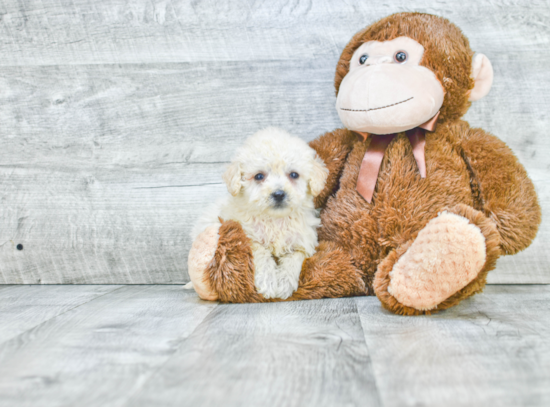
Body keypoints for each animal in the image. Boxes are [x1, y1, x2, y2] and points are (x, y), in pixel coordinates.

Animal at [190, 127, 330, 300]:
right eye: (259, 176)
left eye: (294, 174)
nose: (278, 194)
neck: (275, 220)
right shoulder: (247, 236)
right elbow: (261, 252)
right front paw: (268, 282)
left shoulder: (303, 242)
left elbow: (294, 258)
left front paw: (284, 284)